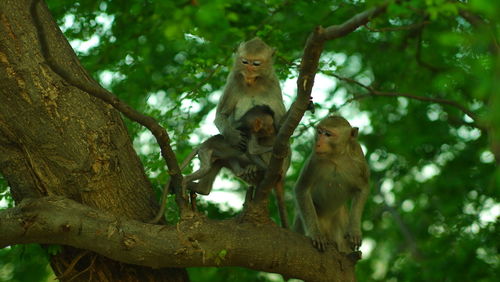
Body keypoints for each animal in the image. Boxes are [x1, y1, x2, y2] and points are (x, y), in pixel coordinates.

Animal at [292, 115, 370, 254]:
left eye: (328, 134)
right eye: (319, 132)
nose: (318, 144)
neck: (336, 158)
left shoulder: (359, 158)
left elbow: (363, 189)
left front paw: (354, 231)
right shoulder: (314, 161)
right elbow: (302, 189)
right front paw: (315, 234)